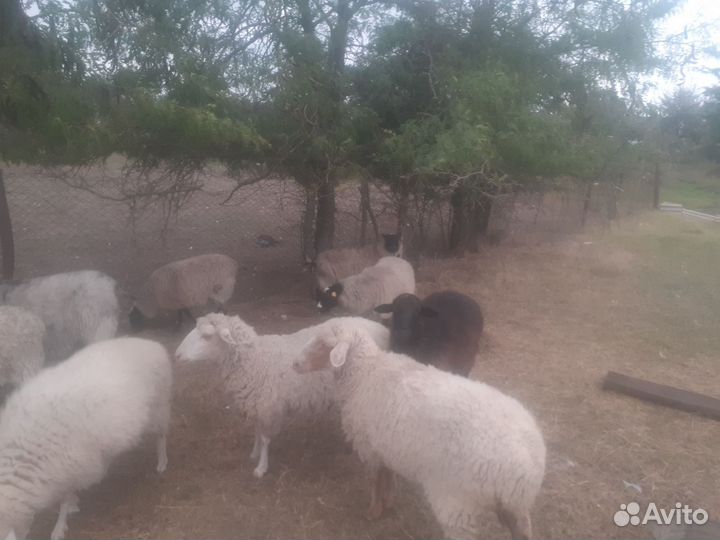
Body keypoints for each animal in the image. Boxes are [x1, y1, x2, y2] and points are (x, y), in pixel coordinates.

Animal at [0, 337, 172, 540]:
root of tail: (152, 344)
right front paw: (73, 505)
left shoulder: (67, 467)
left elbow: (64, 500)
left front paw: (60, 526)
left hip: (159, 407)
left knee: (161, 437)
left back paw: (162, 462)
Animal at [174, 313, 389, 478]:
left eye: (206, 336)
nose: (176, 355)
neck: (254, 359)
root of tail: (381, 327)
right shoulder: (257, 403)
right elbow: (256, 431)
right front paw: (254, 453)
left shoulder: (268, 405)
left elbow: (265, 438)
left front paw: (261, 467)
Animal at [293, 323, 546, 540]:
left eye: (324, 344)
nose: (295, 364)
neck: (365, 373)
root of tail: (529, 467)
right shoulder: (386, 446)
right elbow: (388, 476)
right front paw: (388, 502)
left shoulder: (370, 448)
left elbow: (375, 481)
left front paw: (374, 510)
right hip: (515, 506)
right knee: (523, 530)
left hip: (457, 500)